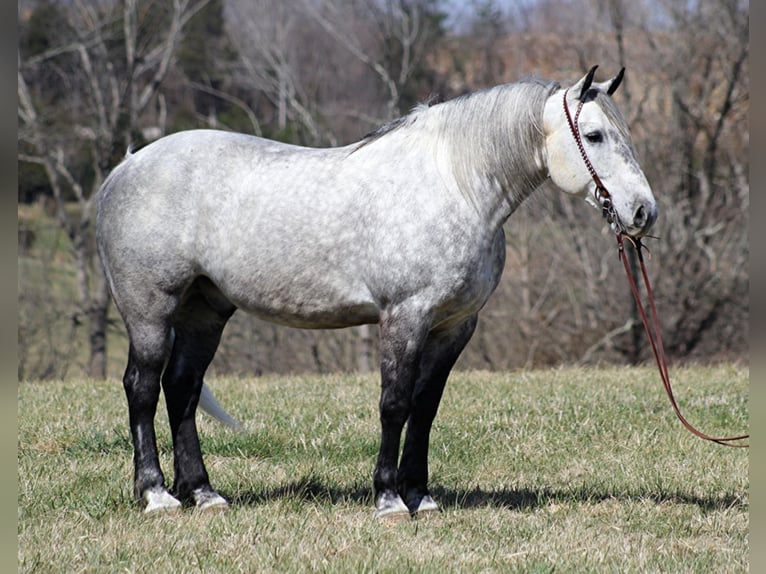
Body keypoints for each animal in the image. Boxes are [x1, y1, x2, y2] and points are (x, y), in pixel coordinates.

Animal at [97, 65, 660, 520]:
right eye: (594, 135)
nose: (642, 212)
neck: (455, 185)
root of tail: (126, 165)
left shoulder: (453, 326)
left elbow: (424, 407)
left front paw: (421, 497)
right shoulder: (404, 317)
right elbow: (394, 404)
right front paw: (389, 500)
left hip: (204, 311)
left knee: (182, 389)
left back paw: (203, 493)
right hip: (151, 311)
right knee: (142, 388)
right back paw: (157, 495)